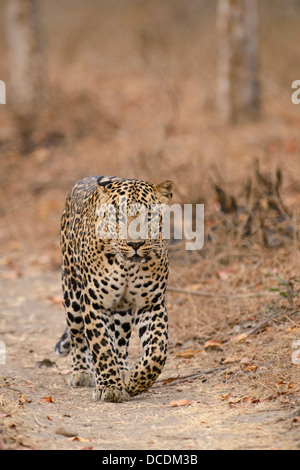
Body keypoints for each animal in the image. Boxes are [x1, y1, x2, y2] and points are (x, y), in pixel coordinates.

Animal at [55, 174, 175, 402]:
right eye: (119, 217)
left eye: (149, 217)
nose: (135, 244)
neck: (127, 266)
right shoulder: (94, 304)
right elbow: (101, 346)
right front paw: (110, 387)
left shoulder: (151, 305)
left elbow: (157, 351)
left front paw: (134, 381)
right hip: (72, 292)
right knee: (77, 335)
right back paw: (81, 372)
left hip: (122, 312)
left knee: (119, 340)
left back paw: (122, 370)